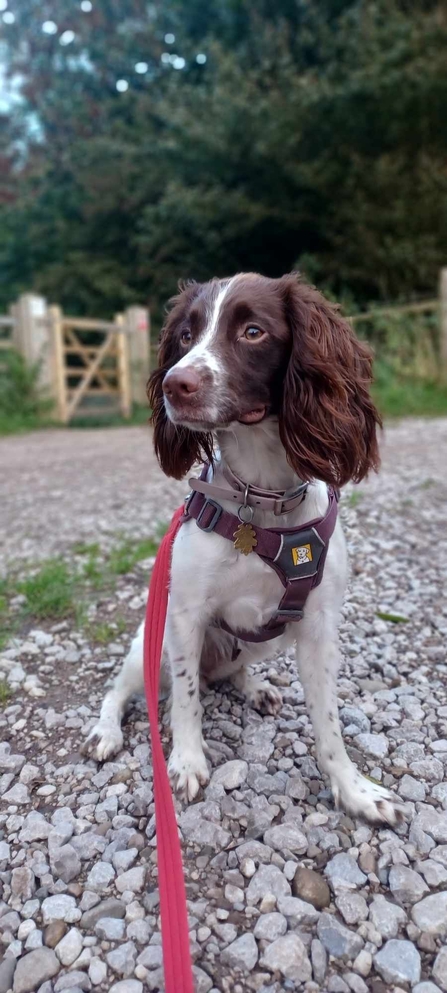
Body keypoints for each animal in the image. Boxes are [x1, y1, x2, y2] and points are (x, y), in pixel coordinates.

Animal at [86, 272, 406, 820]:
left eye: (253, 331)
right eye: (186, 335)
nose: (174, 384)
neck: (264, 500)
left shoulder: (319, 625)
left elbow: (329, 724)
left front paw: (355, 790)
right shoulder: (184, 615)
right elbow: (186, 699)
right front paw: (187, 762)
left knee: (233, 671)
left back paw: (254, 688)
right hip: (148, 641)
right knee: (125, 692)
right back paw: (106, 732)